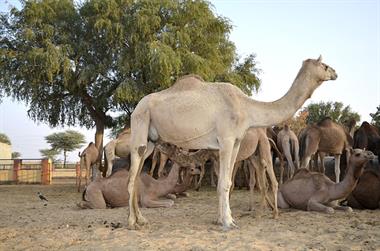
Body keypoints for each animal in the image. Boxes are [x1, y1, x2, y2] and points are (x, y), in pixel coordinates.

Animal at [128, 55, 338, 229]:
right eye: (325, 65)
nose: (336, 73)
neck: (246, 108)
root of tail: (137, 107)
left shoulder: (235, 142)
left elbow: (227, 181)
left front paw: (225, 219)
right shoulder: (226, 140)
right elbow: (224, 183)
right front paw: (228, 222)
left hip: (151, 141)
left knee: (137, 176)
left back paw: (142, 219)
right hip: (140, 125)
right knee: (131, 177)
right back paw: (132, 222)